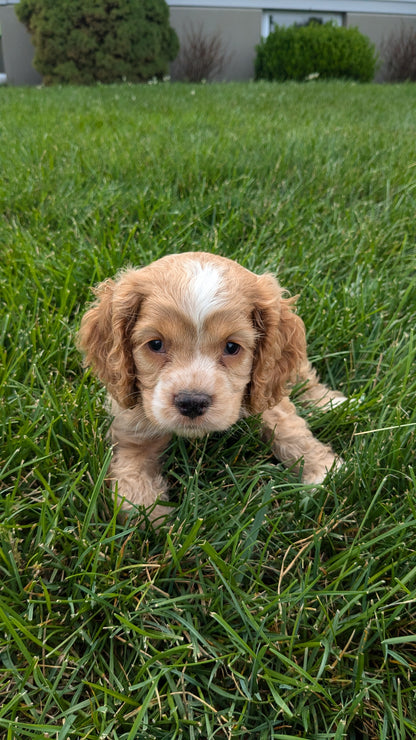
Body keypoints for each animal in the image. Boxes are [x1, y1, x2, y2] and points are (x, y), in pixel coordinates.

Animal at [78, 251, 344, 524]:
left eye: (231, 347)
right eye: (156, 344)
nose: (192, 403)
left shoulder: (262, 392)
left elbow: (288, 427)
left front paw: (321, 470)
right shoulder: (131, 434)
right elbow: (132, 485)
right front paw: (155, 520)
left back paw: (331, 402)